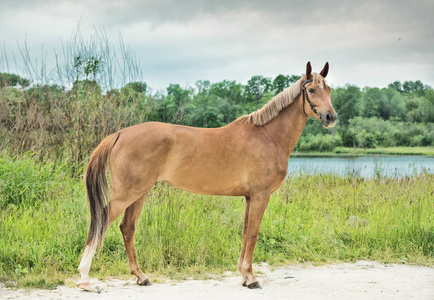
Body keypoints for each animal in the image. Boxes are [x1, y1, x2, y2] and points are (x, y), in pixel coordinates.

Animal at [76, 61, 338, 290]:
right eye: (312, 89)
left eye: (329, 89)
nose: (330, 117)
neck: (267, 136)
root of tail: (120, 133)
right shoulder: (261, 195)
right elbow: (253, 234)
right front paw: (251, 278)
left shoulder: (249, 197)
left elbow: (245, 232)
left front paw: (244, 276)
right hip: (127, 194)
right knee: (101, 223)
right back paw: (85, 279)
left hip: (140, 193)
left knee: (127, 228)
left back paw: (141, 276)